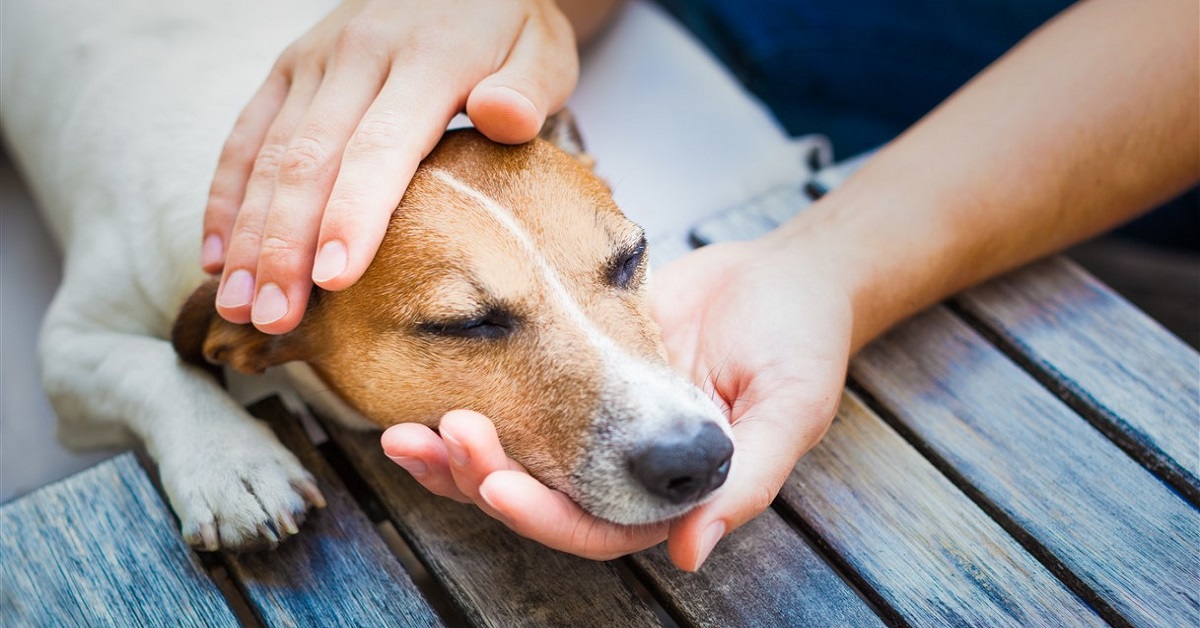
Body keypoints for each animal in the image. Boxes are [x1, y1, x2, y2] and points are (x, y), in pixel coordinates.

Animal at [2, 1, 729, 549]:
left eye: (631, 257)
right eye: (465, 325)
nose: (697, 458)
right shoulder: (69, 347)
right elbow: (153, 366)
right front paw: (231, 463)